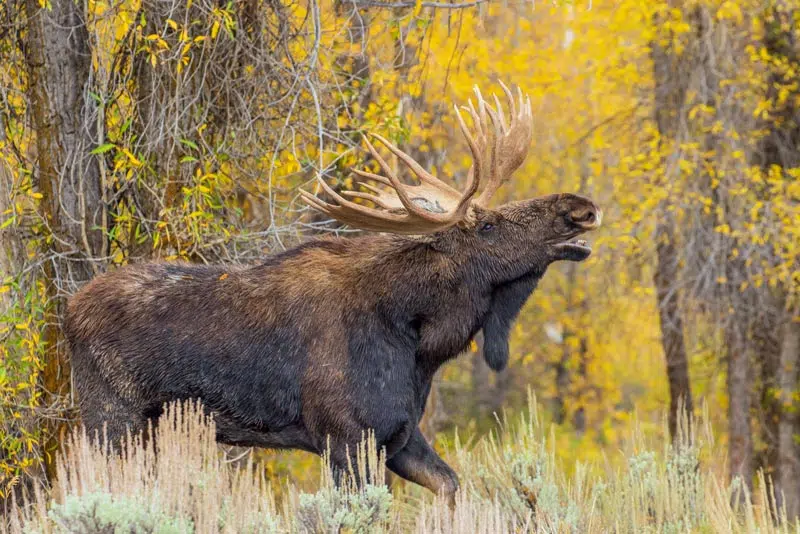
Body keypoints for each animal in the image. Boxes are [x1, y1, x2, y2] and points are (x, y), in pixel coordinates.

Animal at [64, 82, 600, 502]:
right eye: (487, 225)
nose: (580, 208)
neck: (420, 343)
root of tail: (68, 310)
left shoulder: (400, 435)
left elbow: (451, 485)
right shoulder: (345, 438)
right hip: (112, 416)